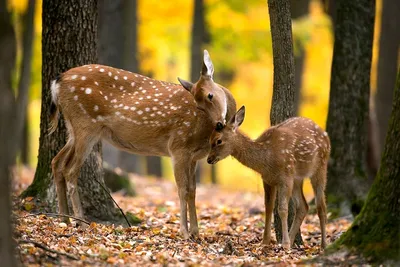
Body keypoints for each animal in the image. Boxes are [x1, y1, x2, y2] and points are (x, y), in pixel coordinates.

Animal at [51, 50, 236, 239]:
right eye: (198, 105)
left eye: (210, 95)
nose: (219, 124)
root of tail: (57, 81)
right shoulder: (178, 147)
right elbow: (182, 189)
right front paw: (185, 233)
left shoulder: (194, 157)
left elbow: (193, 190)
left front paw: (196, 233)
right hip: (85, 124)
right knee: (71, 169)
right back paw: (80, 222)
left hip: (73, 129)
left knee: (57, 162)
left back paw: (64, 219)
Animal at [208, 108, 330, 250]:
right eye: (210, 139)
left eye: (218, 140)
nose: (209, 159)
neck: (267, 158)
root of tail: (326, 135)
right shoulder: (267, 179)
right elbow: (268, 207)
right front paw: (265, 241)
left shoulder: (285, 177)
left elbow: (282, 209)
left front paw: (285, 244)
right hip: (297, 178)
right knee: (303, 206)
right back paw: (293, 240)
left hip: (320, 166)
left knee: (321, 206)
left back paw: (323, 245)